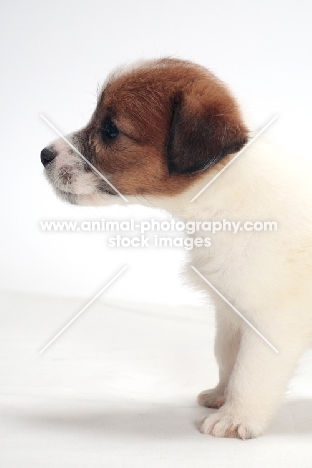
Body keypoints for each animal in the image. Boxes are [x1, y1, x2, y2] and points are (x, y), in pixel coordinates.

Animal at [40, 57, 312, 438]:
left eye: (110, 130)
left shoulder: (272, 321)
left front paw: (236, 417)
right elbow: (227, 356)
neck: (222, 195)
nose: (43, 154)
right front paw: (221, 395)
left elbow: (250, 373)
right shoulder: (230, 310)